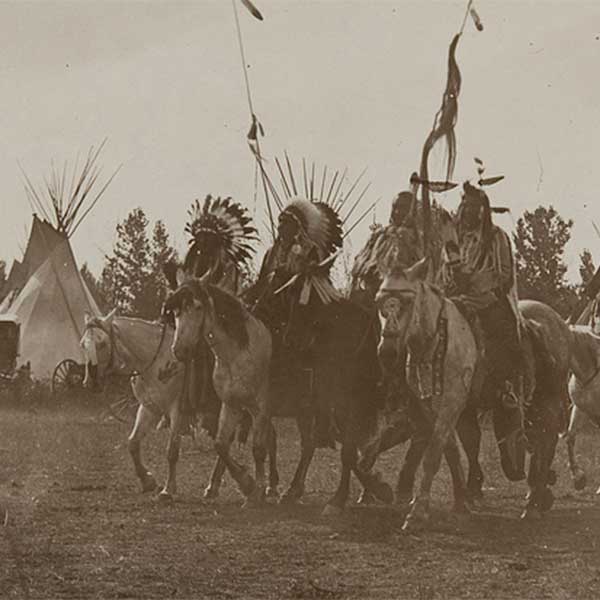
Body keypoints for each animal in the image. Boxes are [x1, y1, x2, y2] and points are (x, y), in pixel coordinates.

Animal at [166, 276, 274, 506]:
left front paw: (256, 491)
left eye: (198, 307)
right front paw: (247, 483)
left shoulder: (260, 409)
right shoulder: (232, 405)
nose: (179, 350)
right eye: (176, 311)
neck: (239, 352)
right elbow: (220, 445)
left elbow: (258, 450)